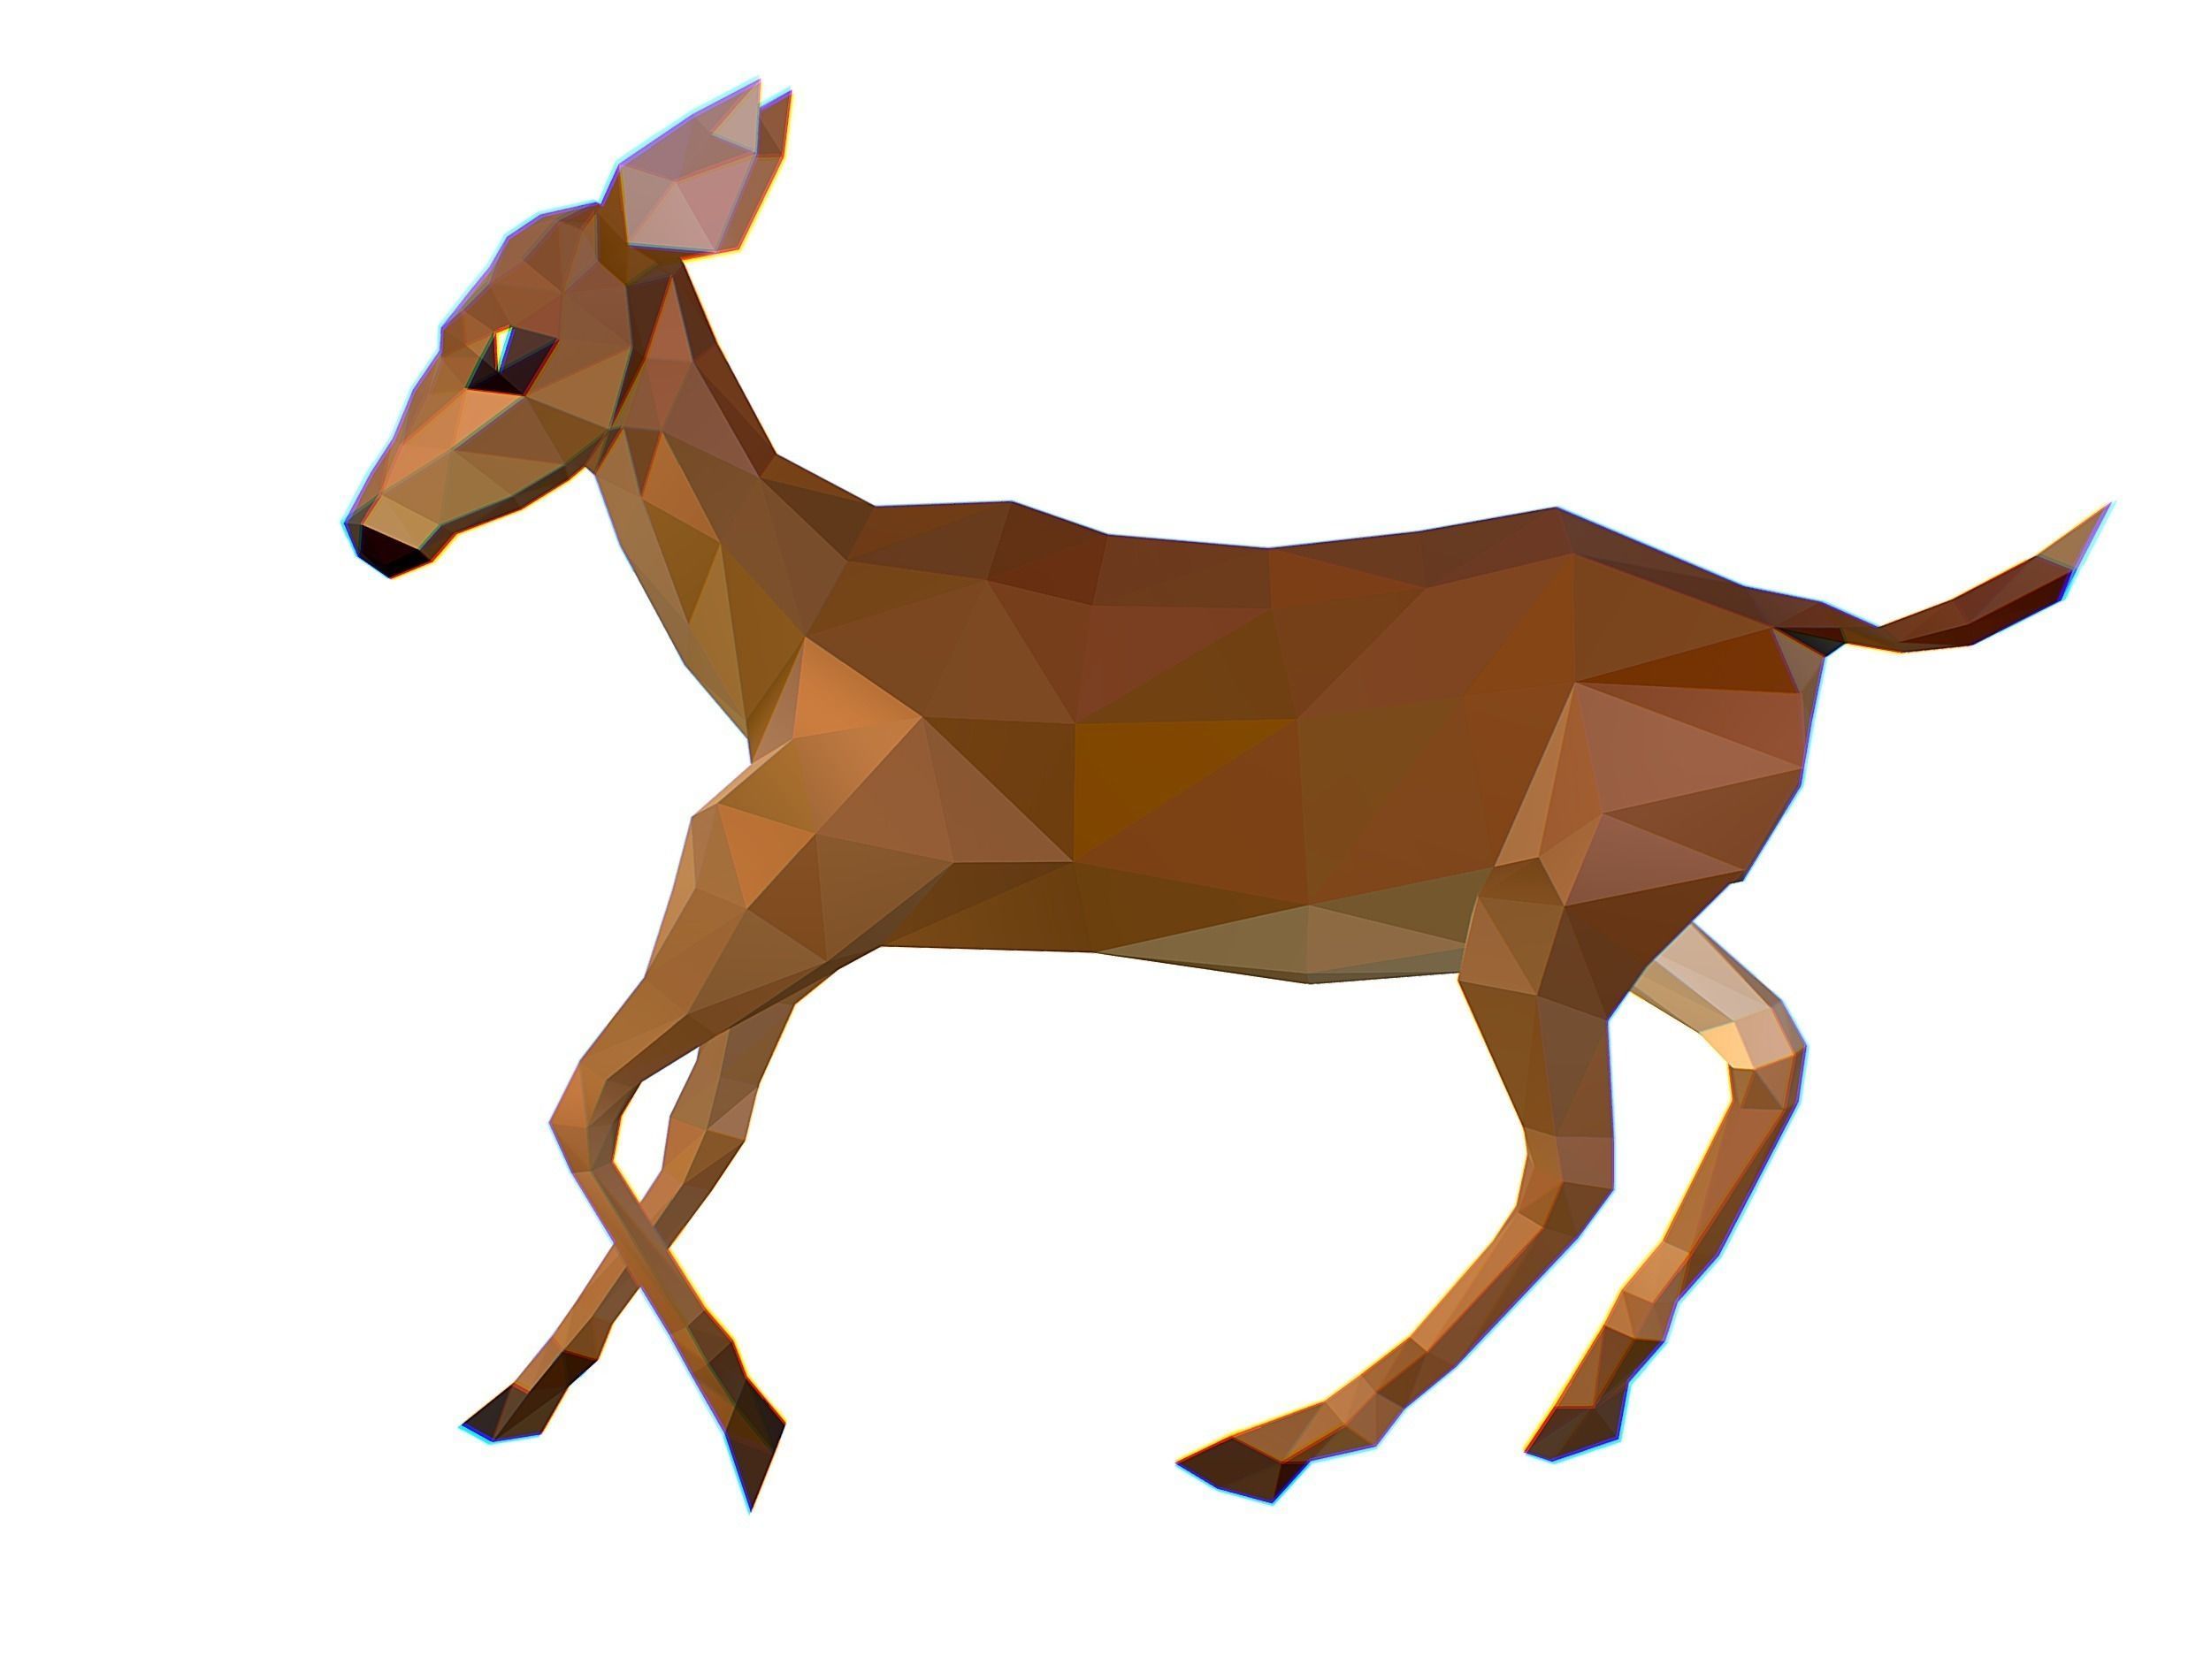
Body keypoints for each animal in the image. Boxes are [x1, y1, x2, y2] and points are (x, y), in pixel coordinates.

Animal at [346, 83, 2107, 1506]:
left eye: (510, 349)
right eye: (440, 323)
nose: (374, 536)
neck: (798, 623)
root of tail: (1817, 624)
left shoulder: (800, 866)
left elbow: (590, 1098)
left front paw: (744, 1425)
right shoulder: (807, 905)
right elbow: (697, 1130)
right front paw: (527, 1396)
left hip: (1544, 920)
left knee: (1575, 1164)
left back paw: (1282, 1439)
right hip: (1620, 900)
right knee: (1769, 1051)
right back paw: (1575, 1411)